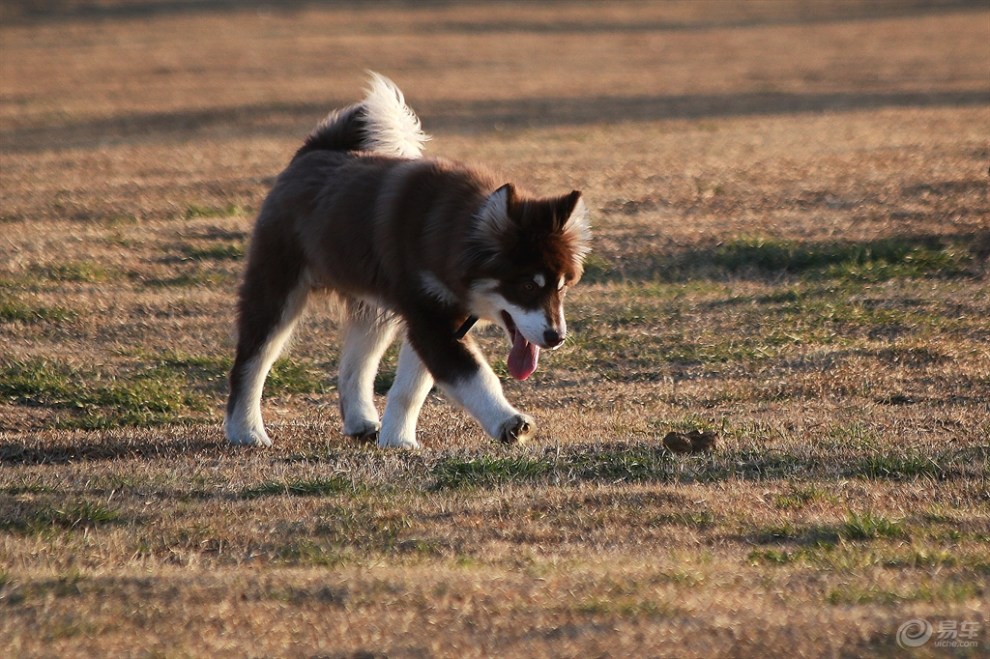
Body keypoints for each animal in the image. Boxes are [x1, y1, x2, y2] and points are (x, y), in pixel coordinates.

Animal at [223, 75, 588, 452]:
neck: (451, 232)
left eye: (561, 288)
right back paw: (246, 431)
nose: (556, 337)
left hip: (371, 310)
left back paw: (361, 423)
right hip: (277, 287)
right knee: (251, 362)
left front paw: (397, 440)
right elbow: (474, 376)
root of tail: (312, 153)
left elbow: (410, 388)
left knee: (354, 367)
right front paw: (509, 423)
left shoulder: (434, 318)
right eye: (528, 285)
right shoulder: (430, 318)